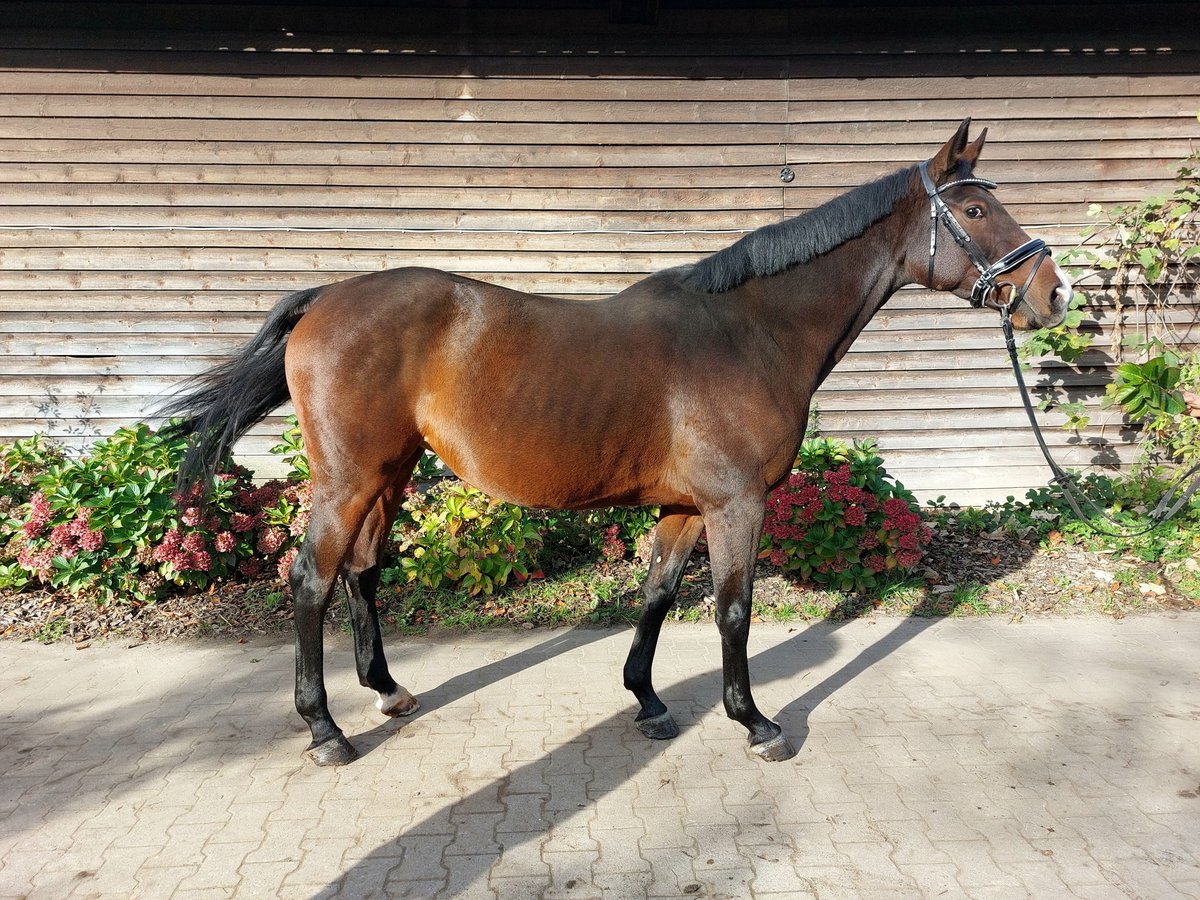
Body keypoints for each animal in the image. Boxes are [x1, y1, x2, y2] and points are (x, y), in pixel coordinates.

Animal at [159, 120, 1070, 768]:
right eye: (977, 209)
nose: (1052, 295)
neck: (750, 331)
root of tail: (323, 300)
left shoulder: (684, 507)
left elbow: (659, 596)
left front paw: (650, 702)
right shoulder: (736, 505)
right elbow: (732, 611)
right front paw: (755, 723)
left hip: (389, 472)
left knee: (361, 571)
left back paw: (386, 691)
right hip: (348, 479)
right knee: (311, 579)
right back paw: (325, 732)